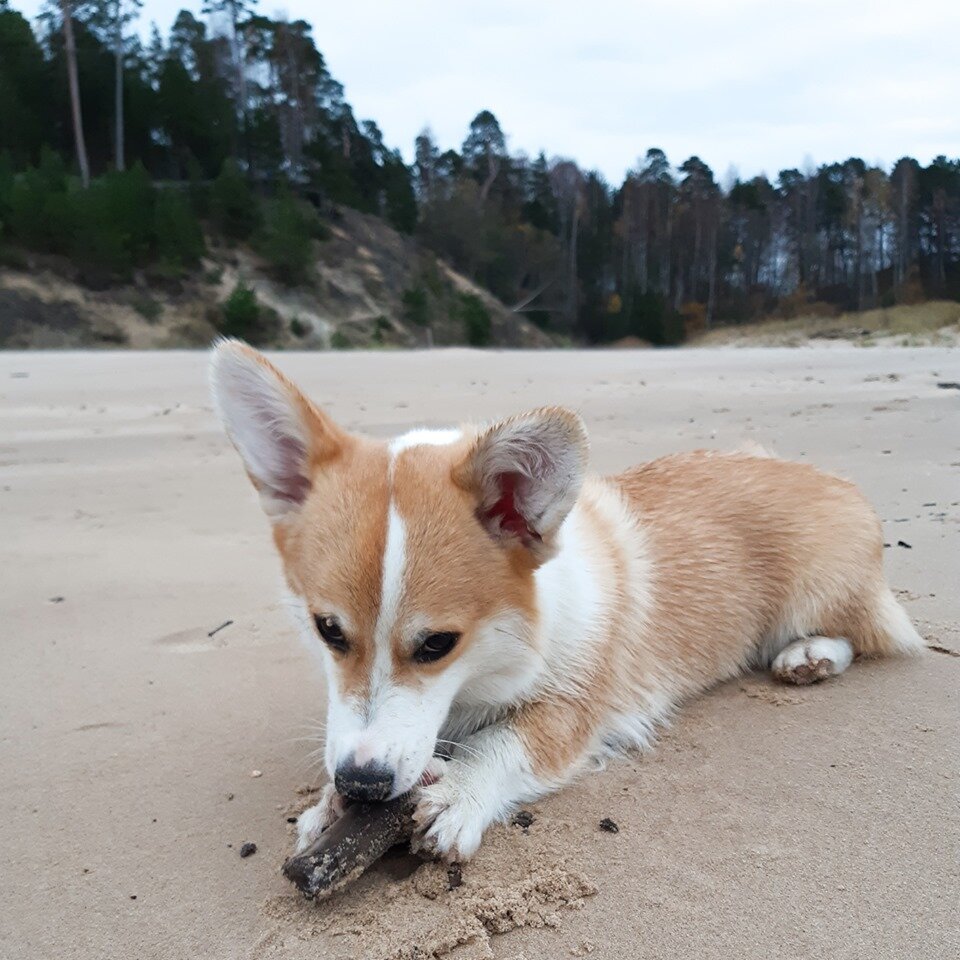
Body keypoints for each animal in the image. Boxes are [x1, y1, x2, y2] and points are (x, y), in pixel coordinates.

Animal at [208, 340, 924, 864]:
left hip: (819, 591)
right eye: (327, 630)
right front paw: (328, 804)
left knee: (869, 630)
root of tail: (829, 475)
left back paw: (810, 655)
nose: (363, 785)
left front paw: (459, 793)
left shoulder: (575, 709)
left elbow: (505, 742)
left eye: (438, 644)